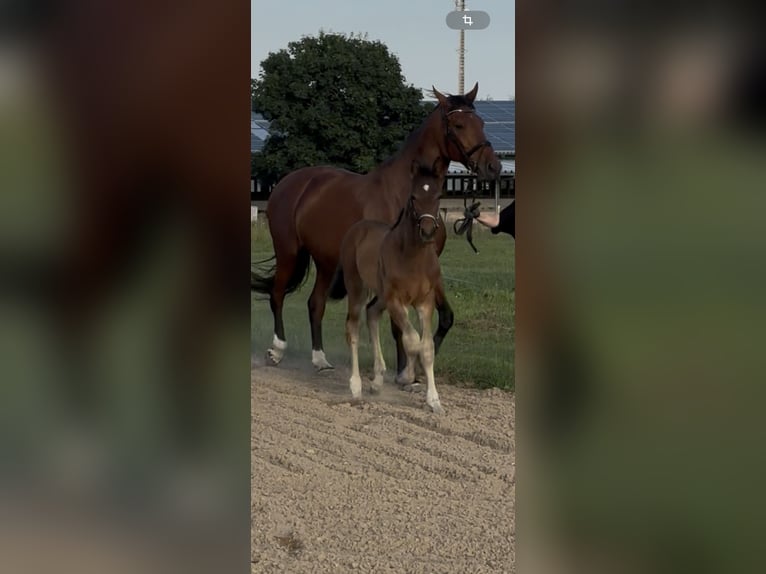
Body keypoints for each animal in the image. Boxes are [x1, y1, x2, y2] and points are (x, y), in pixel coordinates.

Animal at [251, 83, 501, 380]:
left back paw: (320, 360)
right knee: (277, 295)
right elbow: (396, 324)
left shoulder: (429, 268)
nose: (494, 167)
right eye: (459, 125)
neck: (405, 197)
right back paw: (277, 350)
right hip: (288, 251)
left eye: (482, 123)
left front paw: (420, 365)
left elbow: (445, 317)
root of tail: (289, 183)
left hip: (326, 262)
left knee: (315, 304)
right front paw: (405, 373)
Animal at [328, 158, 448, 413]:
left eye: (438, 195)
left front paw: (434, 401)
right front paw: (406, 376)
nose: (427, 231)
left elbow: (426, 347)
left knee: (372, 313)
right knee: (353, 327)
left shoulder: (425, 302)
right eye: (413, 196)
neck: (413, 258)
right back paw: (356, 386)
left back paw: (377, 381)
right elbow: (411, 340)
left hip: (380, 295)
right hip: (357, 288)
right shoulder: (396, 300)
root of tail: (356, 229)